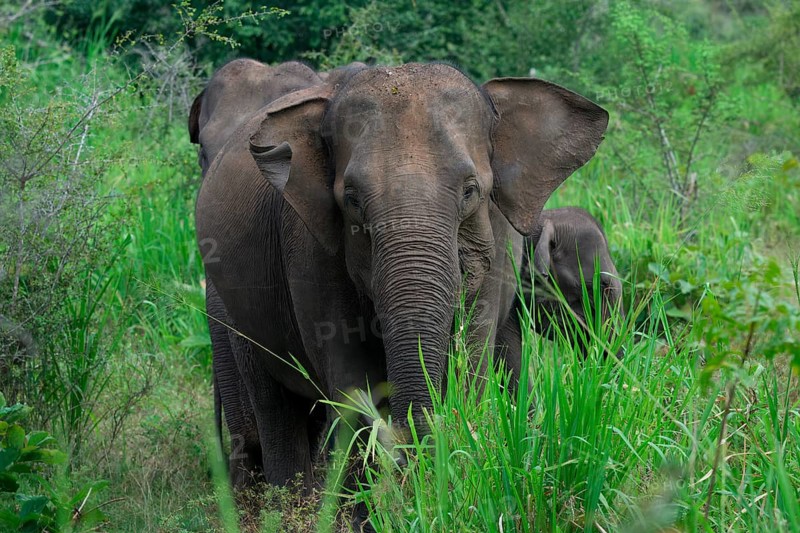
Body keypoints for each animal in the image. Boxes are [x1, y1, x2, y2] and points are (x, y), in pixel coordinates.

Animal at [193, 61, 608, 512]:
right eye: (352, 199)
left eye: (470, 191)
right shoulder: (308, 248)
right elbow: (351, 390)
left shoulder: (499, 253)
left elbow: (471, 370)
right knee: (276, 408)